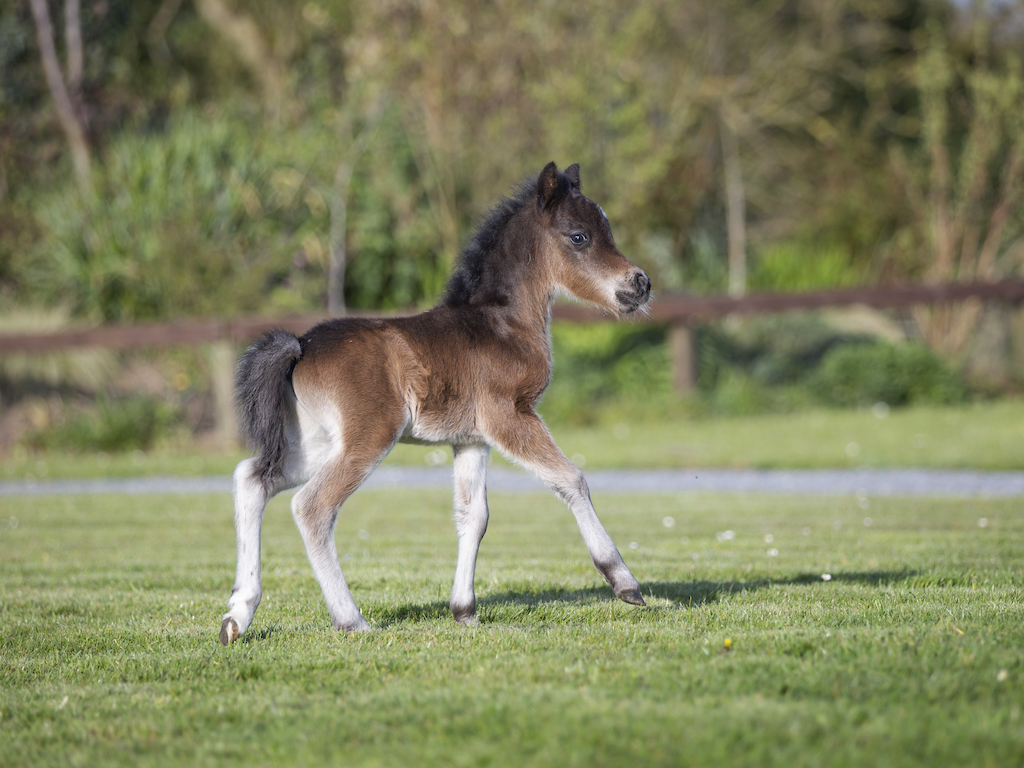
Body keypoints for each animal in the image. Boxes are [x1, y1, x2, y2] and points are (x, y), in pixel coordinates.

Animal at [219, 162, 652, 645]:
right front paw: (623, 580)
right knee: (312, 507)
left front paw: (464, 609)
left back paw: (237, 615)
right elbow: (571, 479)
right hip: (369, 436)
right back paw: (350, 618)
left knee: (252, 479)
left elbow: (473, 515)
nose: (640, 283)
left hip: (316, 441)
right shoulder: (509, 414)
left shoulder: (471, 438)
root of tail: (299, 346)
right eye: (579, 236)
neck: (503, 324)